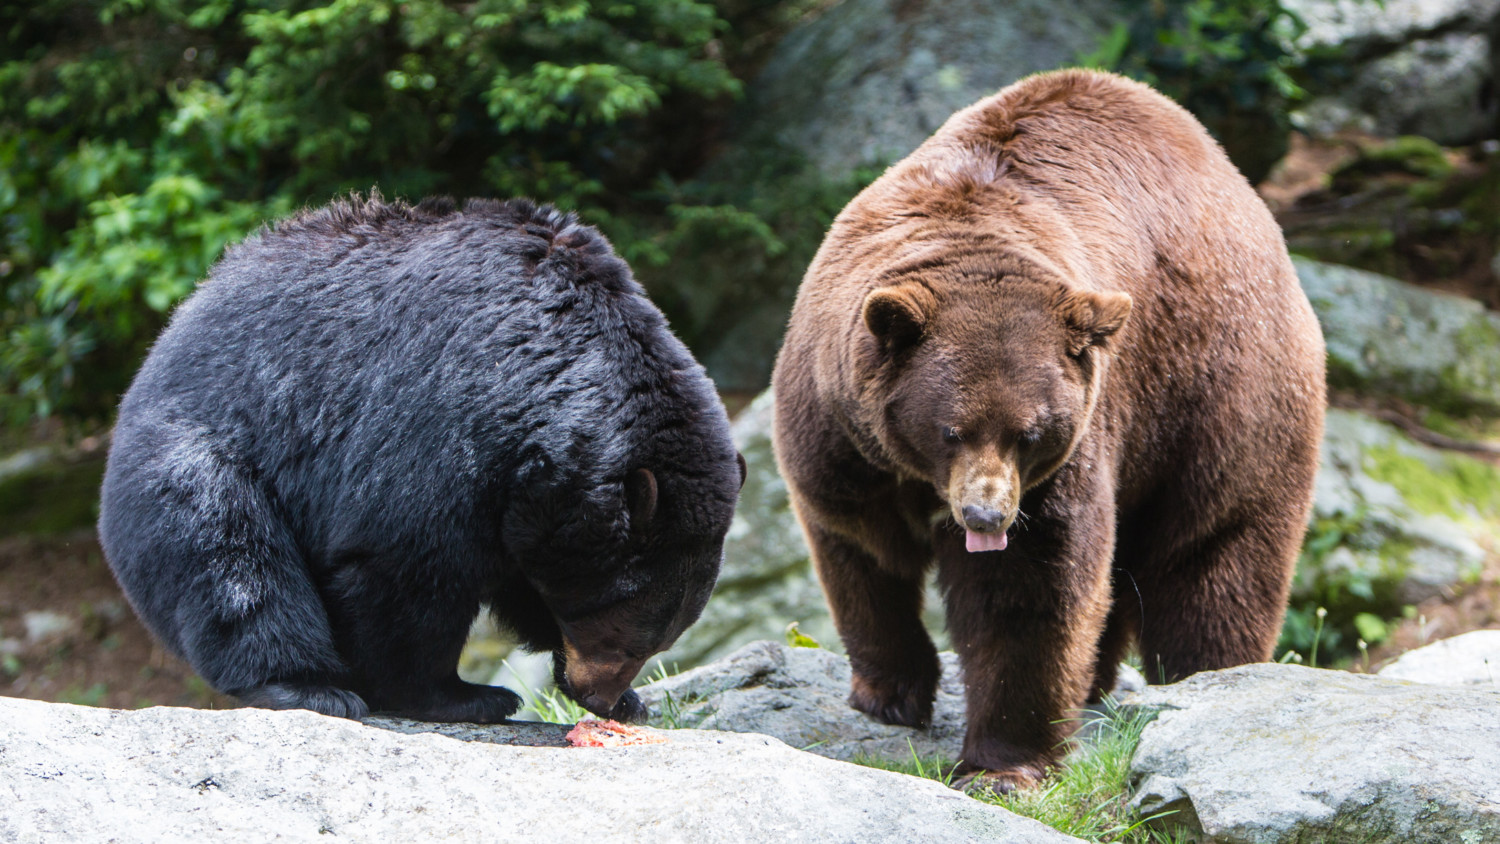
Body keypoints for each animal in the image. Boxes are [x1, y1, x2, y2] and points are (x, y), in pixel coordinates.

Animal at [99, 194, 744, 722]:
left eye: (656, 643)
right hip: (191, 457)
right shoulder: (444, 413)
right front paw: (461, 695)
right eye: (621, 635)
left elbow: (526, 572)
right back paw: (309, 685)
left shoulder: (533, 496)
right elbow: (406, 563)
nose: (600, 697)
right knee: (233, 556)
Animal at [774, 67, 1326, 791]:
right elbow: (860, 552)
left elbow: (1031, 587)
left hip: (1221, 393)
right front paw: (888, 693)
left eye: (1029, 433)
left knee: (1214, 552)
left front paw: (1001, 764)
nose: (985, 516)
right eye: (950, 429)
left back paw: (1208, 678)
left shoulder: (1072, 452)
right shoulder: (843, 438)